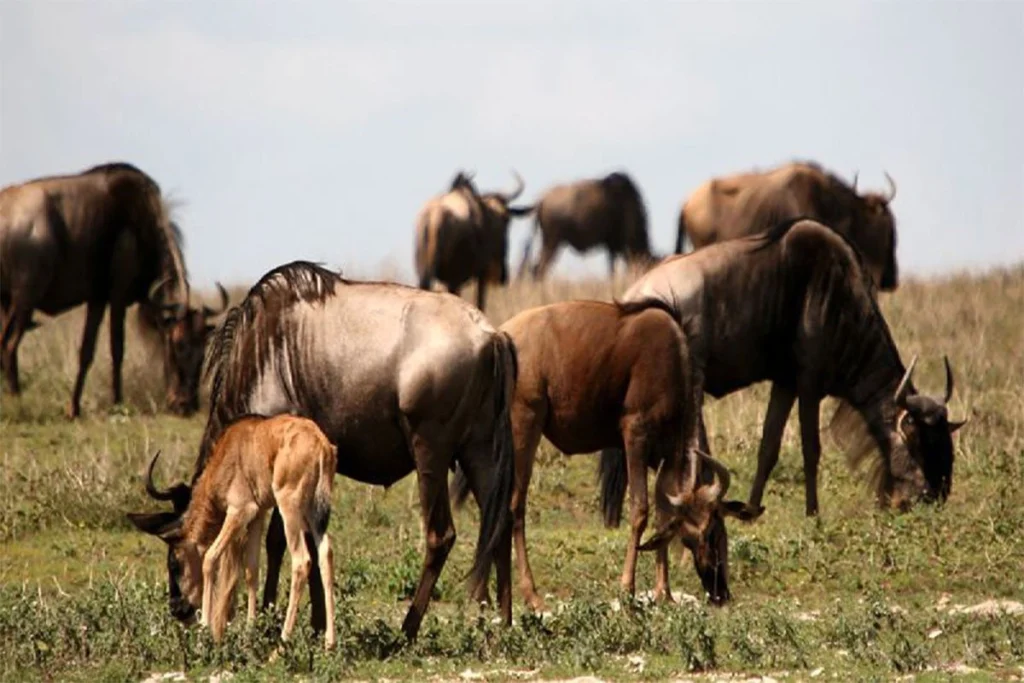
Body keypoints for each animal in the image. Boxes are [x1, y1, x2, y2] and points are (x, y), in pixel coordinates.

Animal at [128, 413, 339, 651]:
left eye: (174, 562)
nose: (176, 609)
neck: (232, 446)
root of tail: (322, 445)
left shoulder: (239, 511)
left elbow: (210, 558)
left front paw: (205, 629)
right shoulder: (257, 515)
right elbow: (251, 569)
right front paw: (249, 630)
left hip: (290, 509)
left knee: (302, 561)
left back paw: (282, 644)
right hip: (315, 513)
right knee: (326, 554)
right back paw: (329, 643)